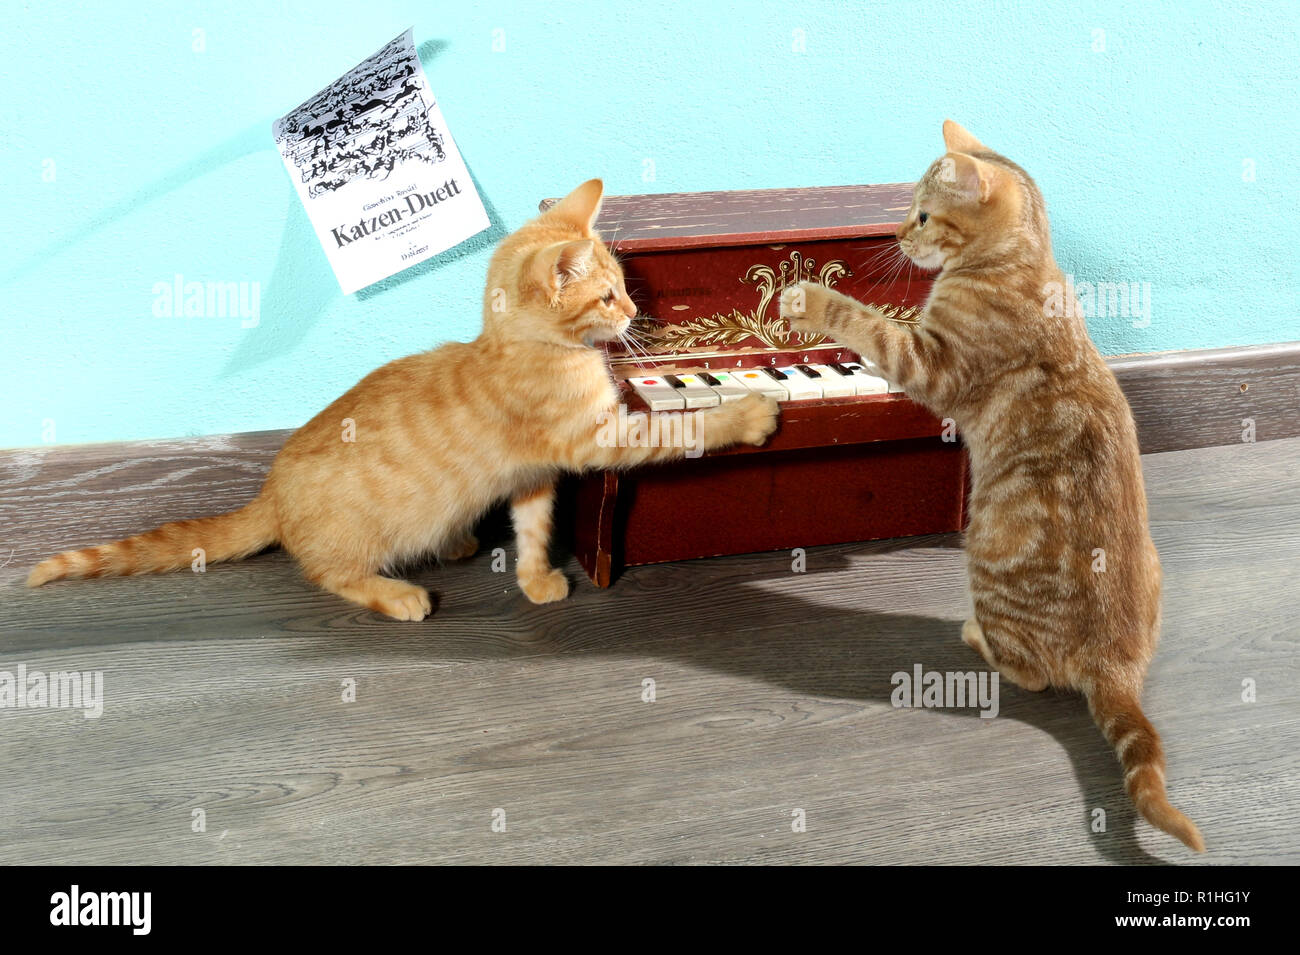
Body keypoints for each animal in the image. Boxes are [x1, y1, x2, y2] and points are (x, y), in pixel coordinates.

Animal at [30, 180, 774, 621]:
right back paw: (398, 592)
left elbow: (533, 530)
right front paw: (746, 412)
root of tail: (271, 494)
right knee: (326, 573)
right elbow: (685, 431)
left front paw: (535, 578)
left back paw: (458, 541)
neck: (527, 347)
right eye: (609, 294)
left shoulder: (533, 475)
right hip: (351, 546)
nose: (634, 314)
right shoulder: (597, 437)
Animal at [774, 121, 1201, 852]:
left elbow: (868, 323)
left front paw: (810, 298)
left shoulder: (928, 362)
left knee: (1030, 671)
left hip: (989, 550)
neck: (1018, 260)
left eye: (923, 214)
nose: (898, 234)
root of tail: (1117, 664)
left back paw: (978, 636)